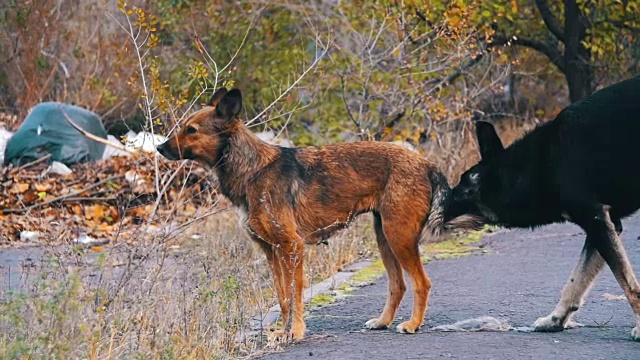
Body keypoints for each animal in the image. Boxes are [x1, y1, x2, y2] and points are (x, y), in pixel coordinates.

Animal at [155, 87, 476, 340]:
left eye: (191, 130)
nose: (158, 147)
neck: (252, 168)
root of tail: (426, 164)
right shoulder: (272, 251)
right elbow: (283, 297)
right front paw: (282, 331)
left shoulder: (292, 247)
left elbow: (295, 295)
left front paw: (296, 331)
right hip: (385, 236)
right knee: (397, 285)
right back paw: (383, 322)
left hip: (400, 237)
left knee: (421, 283)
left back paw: (413, 324)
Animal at [444, 75, 640, 340]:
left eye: (466, 190)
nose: (438, 203)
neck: (535, 165)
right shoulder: (606, 223)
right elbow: (575, 281)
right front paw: (555, 320)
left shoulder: (596, 218)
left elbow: (628, 284)